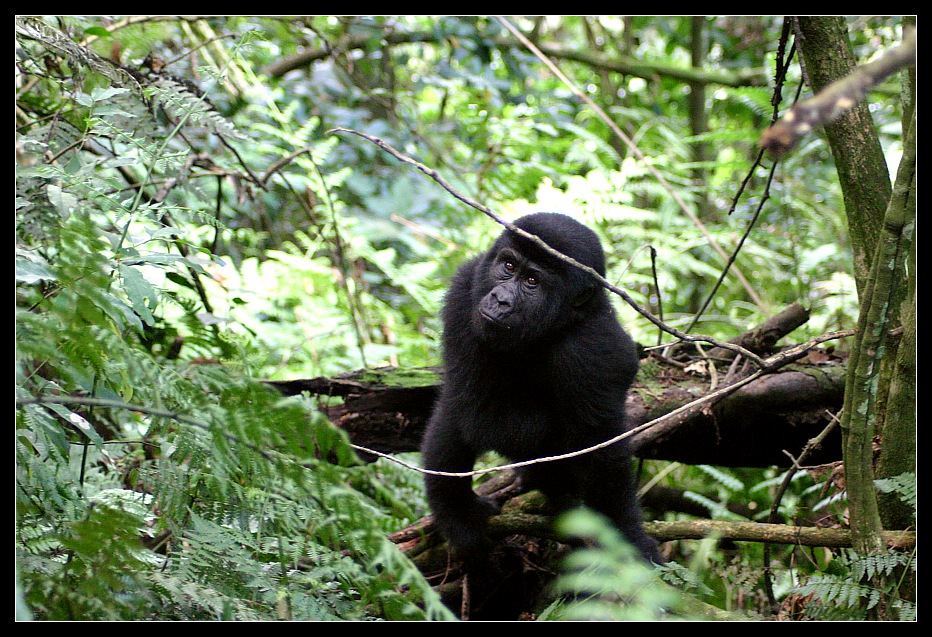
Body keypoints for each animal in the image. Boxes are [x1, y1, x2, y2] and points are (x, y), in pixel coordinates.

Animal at [422, 212, 664, 560]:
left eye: (532, 282)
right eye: (508, 266)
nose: (500, 300)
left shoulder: (595, 350)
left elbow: (599, 452)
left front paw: (629, 541)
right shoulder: (465, 289)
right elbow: (477, 413)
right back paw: (458, 510)